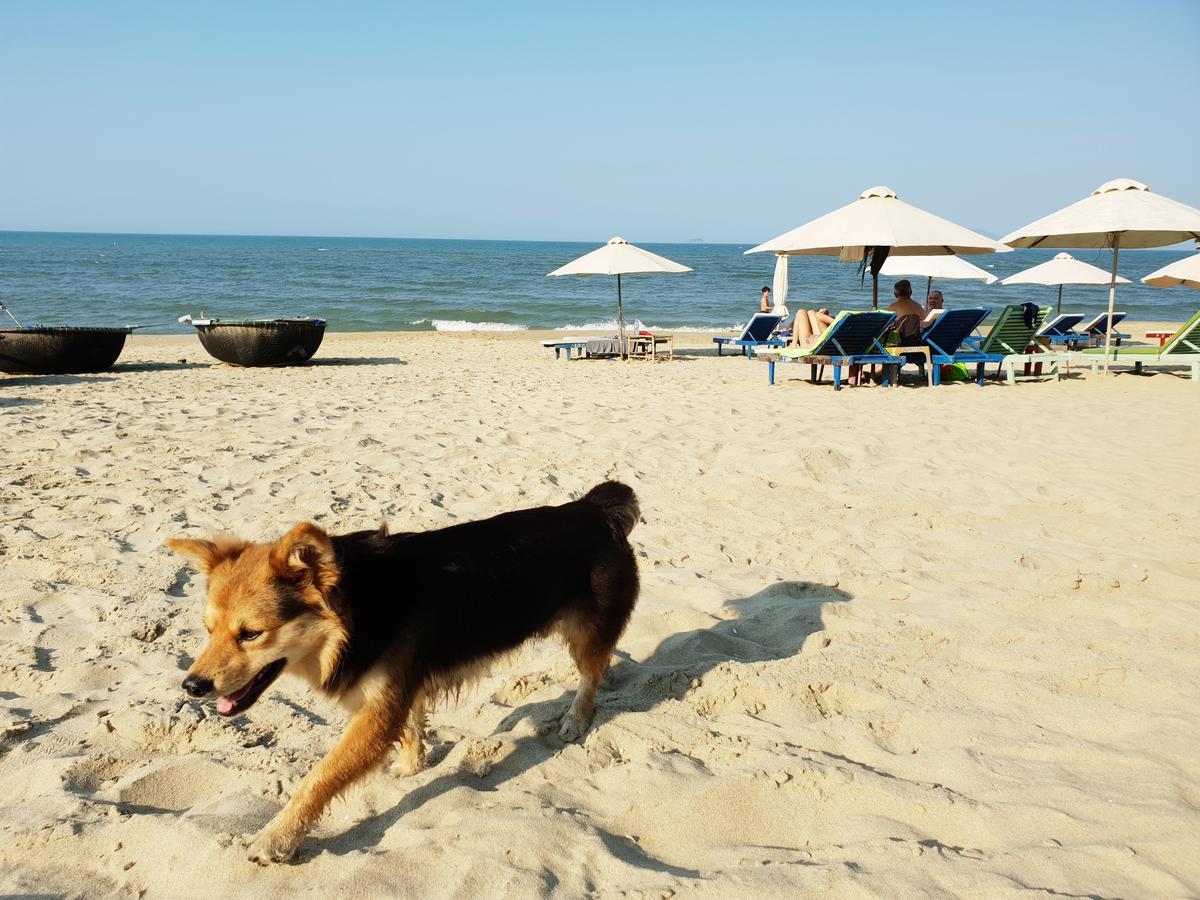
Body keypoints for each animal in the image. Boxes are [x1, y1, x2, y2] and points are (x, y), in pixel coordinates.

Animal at [166, 482, 648, 864]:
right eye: (208, 630)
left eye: (250, 634)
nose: (192, 686)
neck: (358, 612)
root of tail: (594, 508)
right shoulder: (399, 691)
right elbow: (413, 726)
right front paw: (412, 765)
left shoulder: (377, 713)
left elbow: (318, 779)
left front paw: (276, 838)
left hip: (586, 634)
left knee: (591, 675)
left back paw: (576, 719)